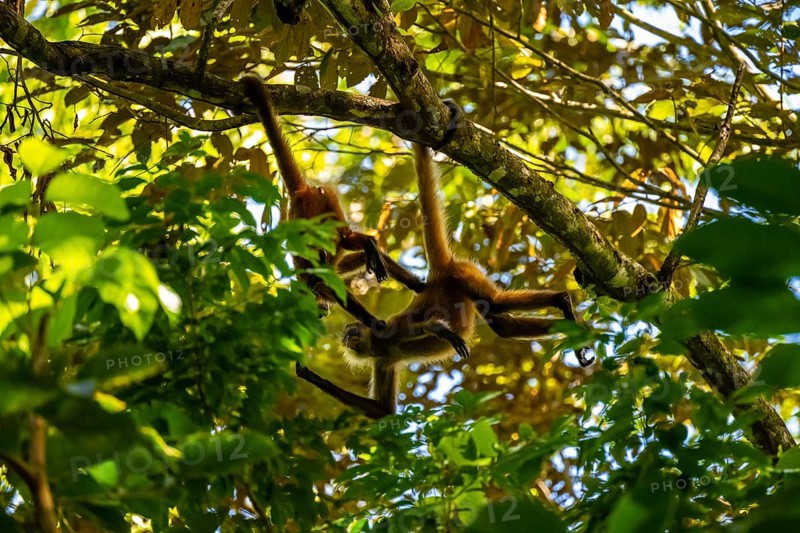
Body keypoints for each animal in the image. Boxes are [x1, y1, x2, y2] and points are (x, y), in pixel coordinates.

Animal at [241, 74, 401, 327]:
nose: (321, 313)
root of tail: (300, 192)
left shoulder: (318, 287)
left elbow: (337, 292)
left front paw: (374, 323)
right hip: (328, 201)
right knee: (345, 238)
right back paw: (369, 244)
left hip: (313, 208)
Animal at [297, 139, 593, 419]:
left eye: (351, 332)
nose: (347, 337)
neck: (378, 346)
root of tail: (440, 271)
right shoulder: (382, 361)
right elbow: (382, 411)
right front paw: (309, 375)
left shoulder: (386, 331)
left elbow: (419, 327)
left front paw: (438, 328)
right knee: (501, 325)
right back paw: (572, 328)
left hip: (465, 275)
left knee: (496, 303)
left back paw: (562, 301)